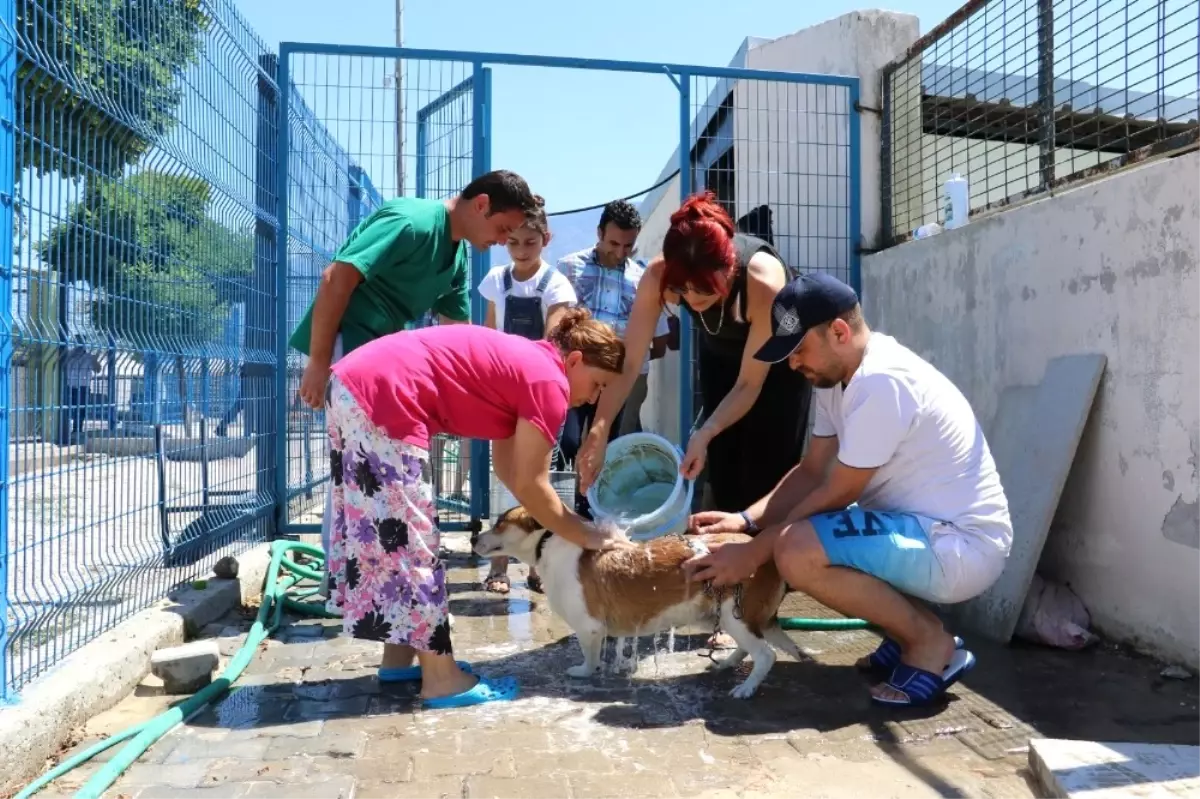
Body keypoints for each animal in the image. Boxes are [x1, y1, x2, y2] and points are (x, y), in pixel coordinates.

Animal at [470, 506, 806, 695]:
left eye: (500, 523)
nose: (473, 538)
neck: (547, 543)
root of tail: (765, 554)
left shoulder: (589, 627)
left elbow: (589, 655)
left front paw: (584, 671)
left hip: (734, 615)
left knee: (765, 654)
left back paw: (746, 688)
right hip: (730, 616)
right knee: (750, 647)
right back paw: (728, 664)